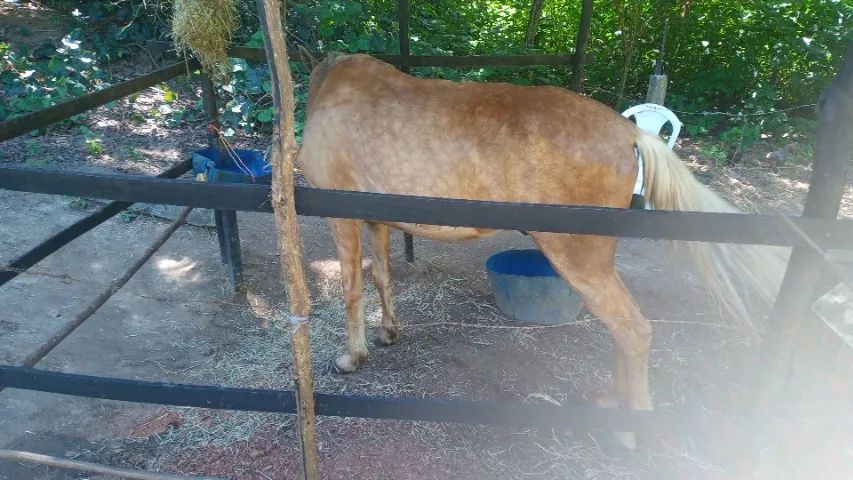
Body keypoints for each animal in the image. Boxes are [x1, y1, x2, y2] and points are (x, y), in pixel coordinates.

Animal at [295, 52, 786, 411]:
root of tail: (629, 132)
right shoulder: (375, 220)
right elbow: (382, 277)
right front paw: (387, 334)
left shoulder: (341, 218)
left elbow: (352, 288)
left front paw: (351, 357)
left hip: (579, 259)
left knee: (633, 328)